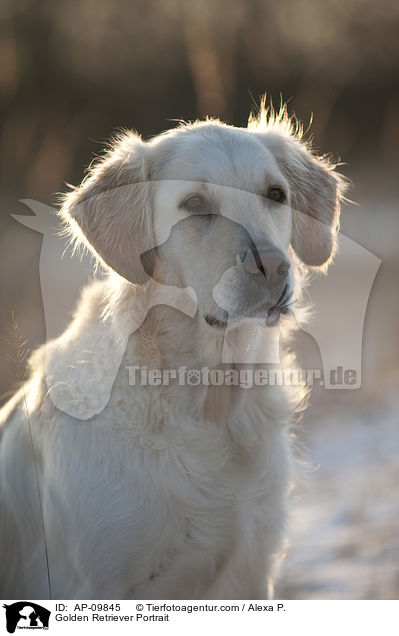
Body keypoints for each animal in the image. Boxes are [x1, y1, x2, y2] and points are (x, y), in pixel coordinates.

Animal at [0, 103, 346, 596]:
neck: (208, 402)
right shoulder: (98, 584)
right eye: (195, 204)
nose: (274, 267)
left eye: (276, 194)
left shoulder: (252, 568)